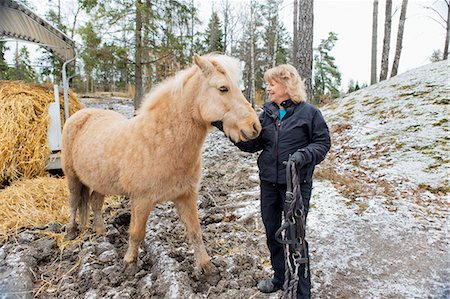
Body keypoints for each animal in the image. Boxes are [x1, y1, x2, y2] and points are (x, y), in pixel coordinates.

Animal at [61, 52, 262, 270]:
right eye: (223, 88)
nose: (255, 127)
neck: (160, 141)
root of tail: (81, 114)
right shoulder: (141, 200)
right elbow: (136, 233)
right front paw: (129, 265)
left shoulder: (186, 197)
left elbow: (195, 232)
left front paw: (207, 268)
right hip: (72, 177)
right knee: (74, 201)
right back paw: (71, 232)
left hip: (100, 181)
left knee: (95, 202)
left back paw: (101, 232)